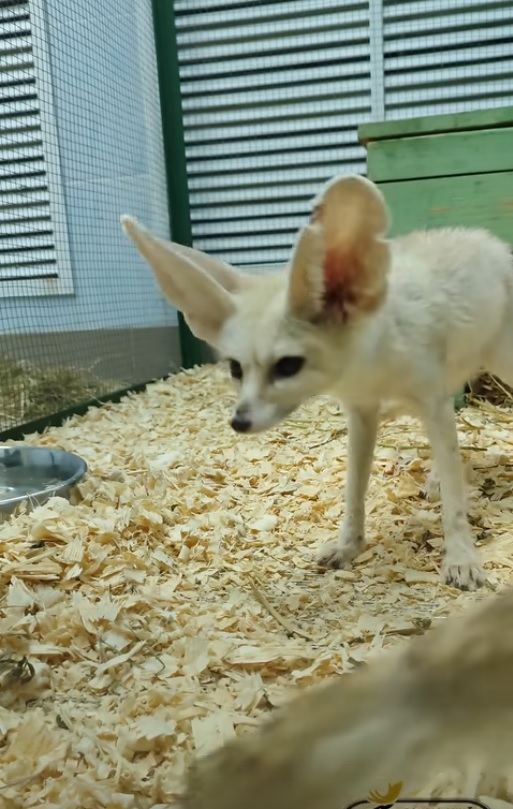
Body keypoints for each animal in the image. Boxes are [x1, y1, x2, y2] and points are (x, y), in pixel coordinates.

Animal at [120, 172, 513, 592]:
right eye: (236, 369)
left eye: (288, 366)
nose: (238, 422)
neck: (372, 364)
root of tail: (488, 240)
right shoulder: (362, 412)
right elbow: (355, 488)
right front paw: (348, 545)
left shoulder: (430, 401)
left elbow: (454, 500)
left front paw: (462, 559)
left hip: (502, 362)